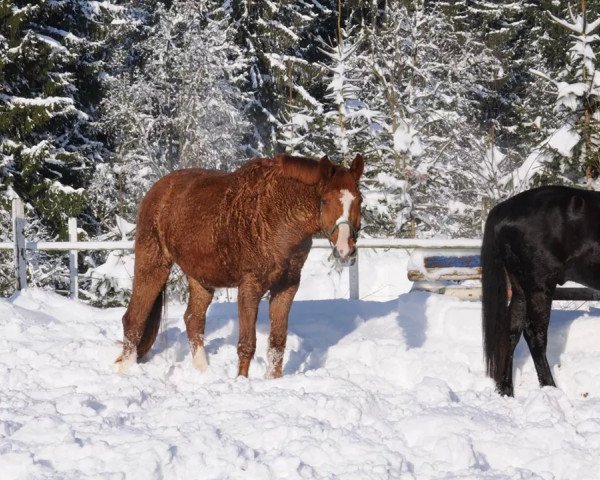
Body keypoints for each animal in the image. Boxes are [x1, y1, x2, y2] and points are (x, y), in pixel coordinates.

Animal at [115, 156, 364, 376]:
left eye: (359, 200)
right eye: (325, 200)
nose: (345, 249)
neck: (278, 216)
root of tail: (156, 191)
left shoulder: (286, 287)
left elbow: (277, 343)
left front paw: (273, 380)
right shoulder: (250, 287)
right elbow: (247, 344)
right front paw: (241, 381)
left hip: (200, 279)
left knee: (193, 321)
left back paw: (204, 373)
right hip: (153, 265)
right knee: (134, 319)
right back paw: (126, 370)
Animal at [480, 186, 600, 396]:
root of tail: (504, 208)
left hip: (520, 289)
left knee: (512, 332)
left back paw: (507, 391)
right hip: (539, 285)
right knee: (535, 336)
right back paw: (550, 388)